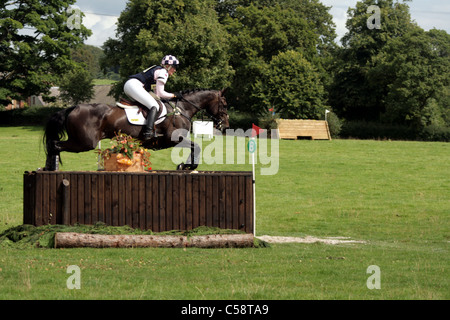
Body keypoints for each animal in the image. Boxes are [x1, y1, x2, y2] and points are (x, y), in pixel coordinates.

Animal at [43, 87, 229, 172]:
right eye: (225, 104)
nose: (225, 125)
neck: (182, 109)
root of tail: (73, 108)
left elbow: (194, 147)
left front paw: (185, 165)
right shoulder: (174, 138)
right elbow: (195, 146)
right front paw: (187, 166)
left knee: (54, 144)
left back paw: (49, 167)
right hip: (85, 142)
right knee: (56, 144)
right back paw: (52, 168)